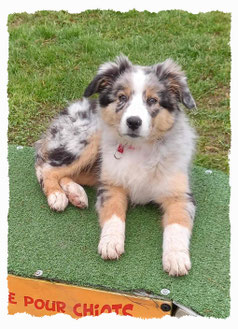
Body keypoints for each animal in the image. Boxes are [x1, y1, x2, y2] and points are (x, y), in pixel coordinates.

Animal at [34, 55, 196, 276]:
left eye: (152, 100)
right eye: (122, 98)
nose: (133, 122)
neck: (140, 148)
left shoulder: (180, 195)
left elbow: (178, 224)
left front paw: (177, 258)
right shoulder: (112, 185)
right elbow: (113, 214)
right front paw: (110, 243)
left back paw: (76, 194)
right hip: (87, 138)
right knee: (47, 167)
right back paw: (57, 196)